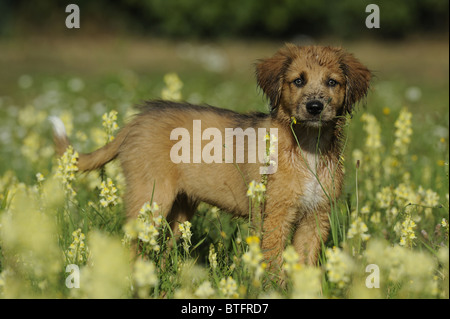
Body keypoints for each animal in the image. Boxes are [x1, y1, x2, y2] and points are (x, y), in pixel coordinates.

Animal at [51, 43, 370, 272]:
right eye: (298, 81)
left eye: (332, 82)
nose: (315, 107)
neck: (306, 147)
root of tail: (136, 121)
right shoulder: (274, 216)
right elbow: (273, 263)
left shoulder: (316, 217)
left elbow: (305, 265)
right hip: (150, 199)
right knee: (131, 244)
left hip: (179, 209)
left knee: (165, 248)